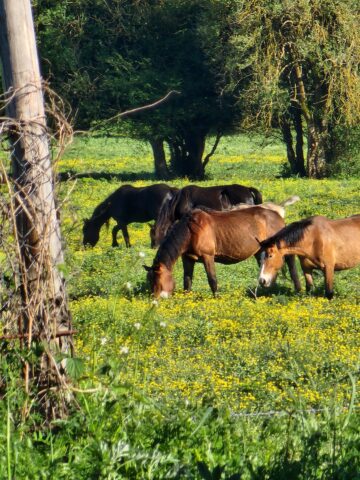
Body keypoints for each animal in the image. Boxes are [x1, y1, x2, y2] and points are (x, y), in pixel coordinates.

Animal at [144, 205, 300, 296]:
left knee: (292, 265)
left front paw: (216, 297)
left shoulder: (208, 256)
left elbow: (212, 280)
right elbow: (187, 281)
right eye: (149, 280)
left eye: (158, 279)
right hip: (260, 251)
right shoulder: (188, 258)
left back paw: (297, 289)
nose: (154, 299)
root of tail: (278, 216)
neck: (190, 230)